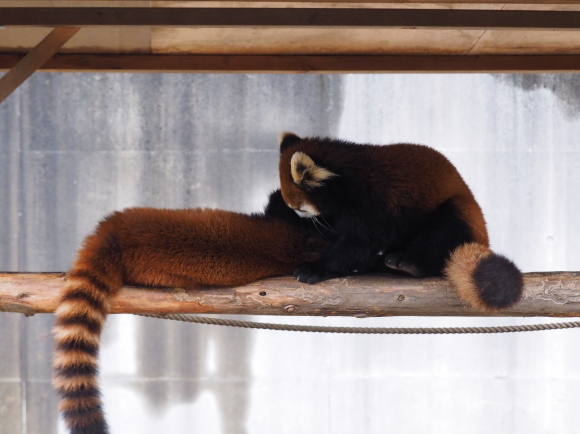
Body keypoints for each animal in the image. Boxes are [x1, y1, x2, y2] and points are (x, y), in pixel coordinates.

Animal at [278, 132, 524, 312]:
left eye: (299, 208)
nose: (293, 212)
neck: (349, 179)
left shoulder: (375, 203)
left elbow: (360, 244)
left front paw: (316, 268)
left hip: (458, 213)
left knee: (444, 230)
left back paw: (410, 263)